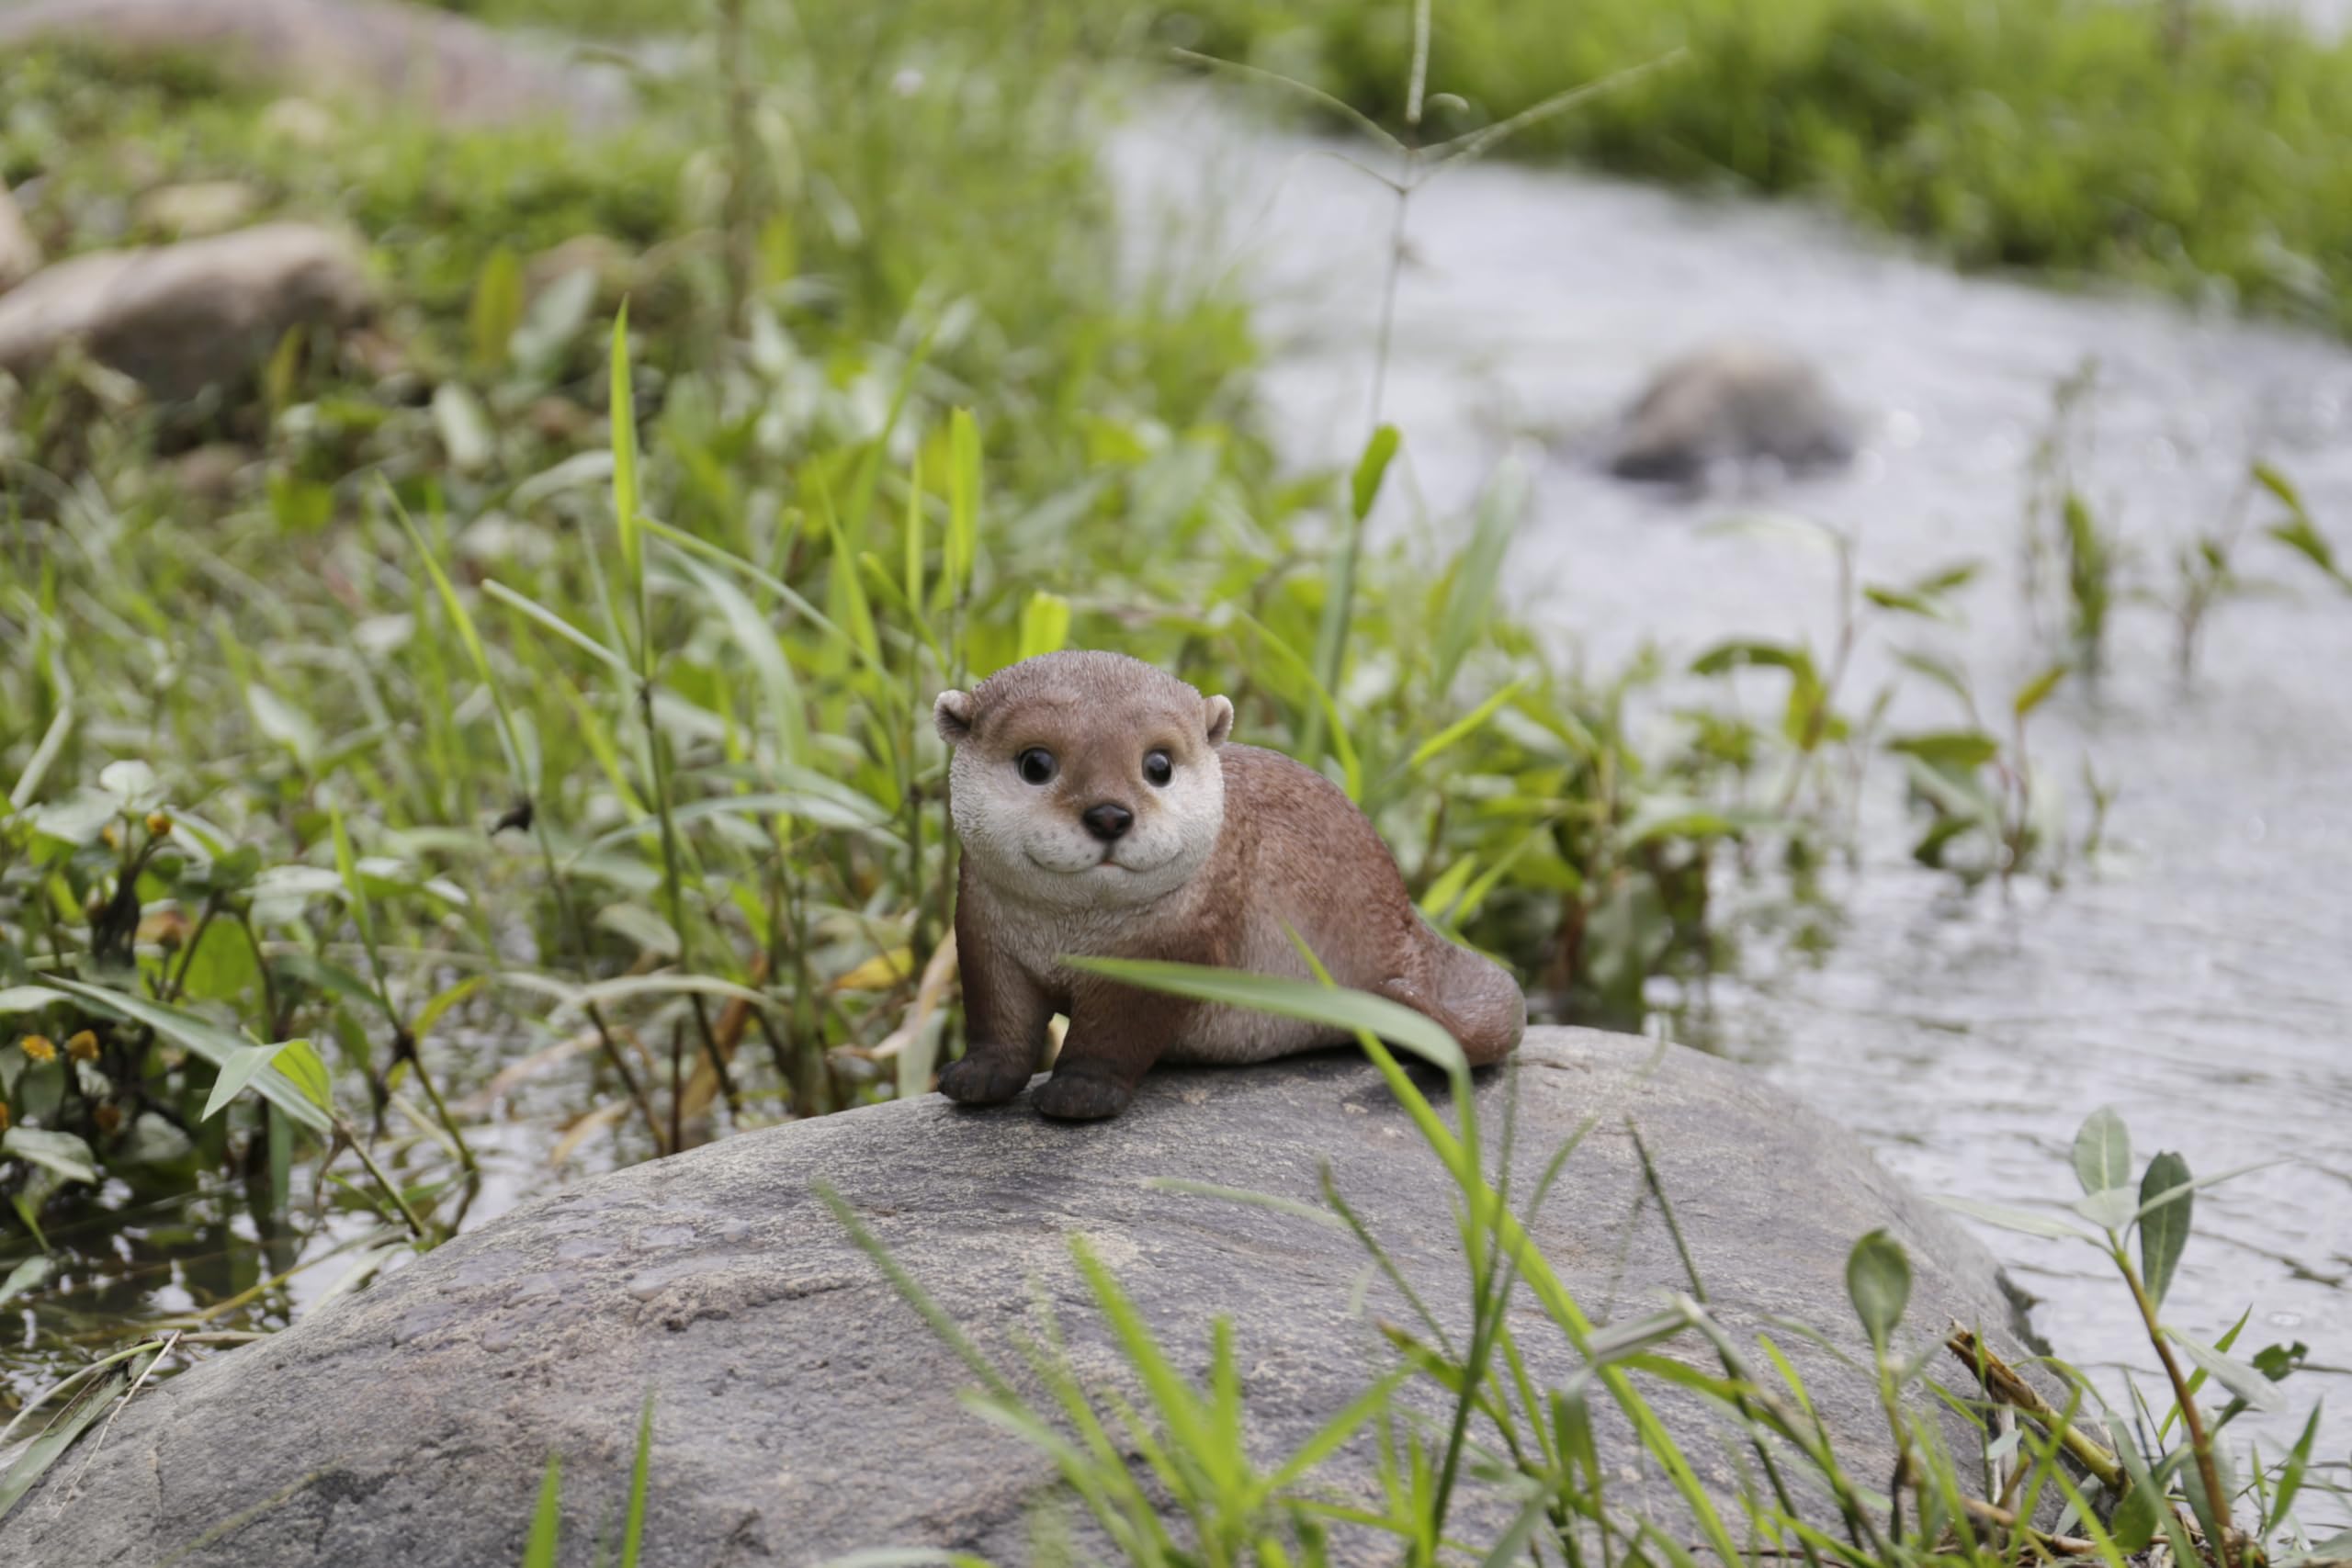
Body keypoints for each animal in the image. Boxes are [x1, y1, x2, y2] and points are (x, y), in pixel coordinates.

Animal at [933, 650, 1526, 1120]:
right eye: (1036, 763)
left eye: (1158, 765)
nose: (1108, 815)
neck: (1067, 937)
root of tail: (1405, 923)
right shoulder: (982, 933)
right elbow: (998, 1017)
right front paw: (976, 1076)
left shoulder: (1168, 949)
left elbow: (1114, 1033)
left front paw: (1081, 1093)